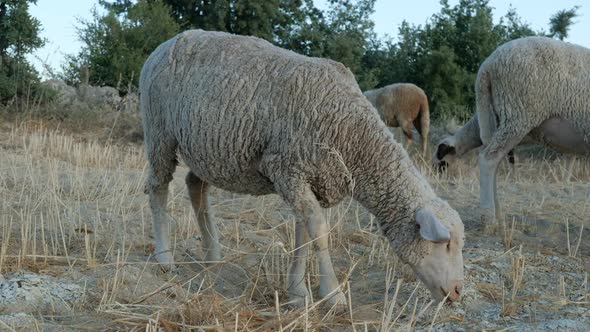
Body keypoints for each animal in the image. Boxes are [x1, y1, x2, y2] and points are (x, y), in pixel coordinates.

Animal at [140, 29, 468, 308]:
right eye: (446, 245)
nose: (457, 292)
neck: (354, 137)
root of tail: (165, 44)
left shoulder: (306, 180)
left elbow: (303, 236)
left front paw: (297, 294)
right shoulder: (288, 170)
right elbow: (319, 234)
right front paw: (332, 295)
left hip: (207, 148)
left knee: (195, 186)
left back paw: (213, 256)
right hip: (159, 132)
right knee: (158, 187)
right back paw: (164, 258)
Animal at [476, 36, 590, 226]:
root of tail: (487, 65)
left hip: (504, 116)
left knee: (496, 159)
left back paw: (498, 214)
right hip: (517, 113)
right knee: (488, 159)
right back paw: (489, 218)